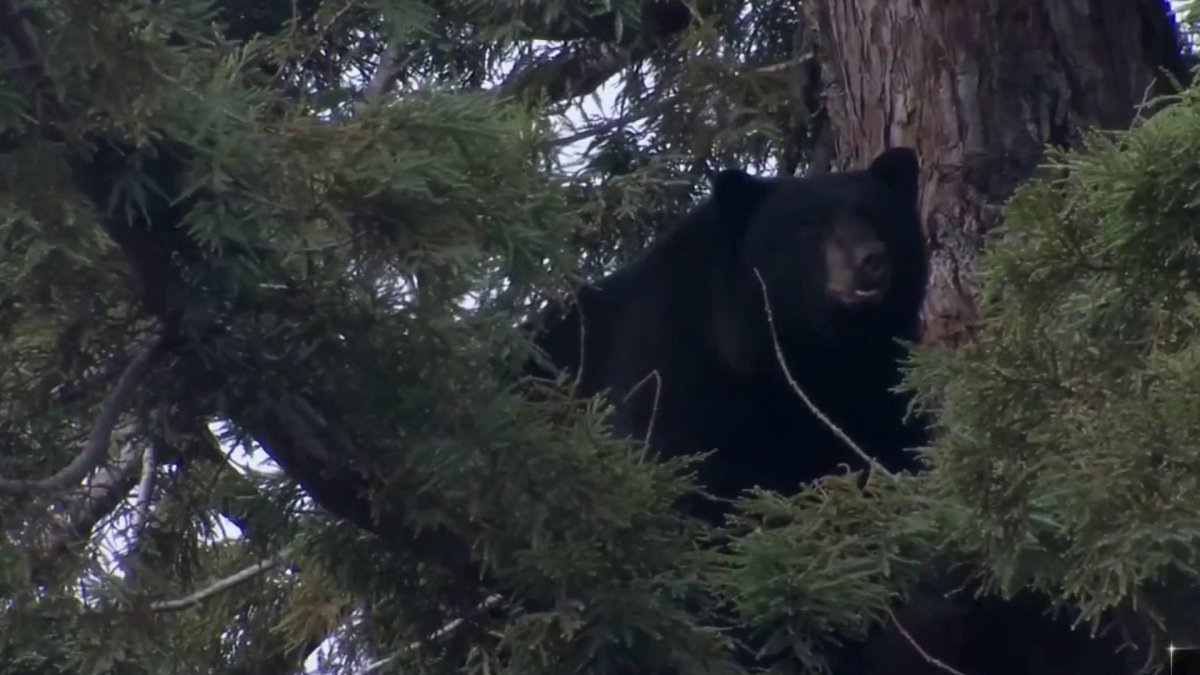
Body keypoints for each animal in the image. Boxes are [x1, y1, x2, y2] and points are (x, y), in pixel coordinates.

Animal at [526, 147, 1148, 675]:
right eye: (807, 226)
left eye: (871, 215)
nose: (871, 263)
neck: (808, 360)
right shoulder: (675, 374)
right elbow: (690, 499)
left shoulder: (871, 397)